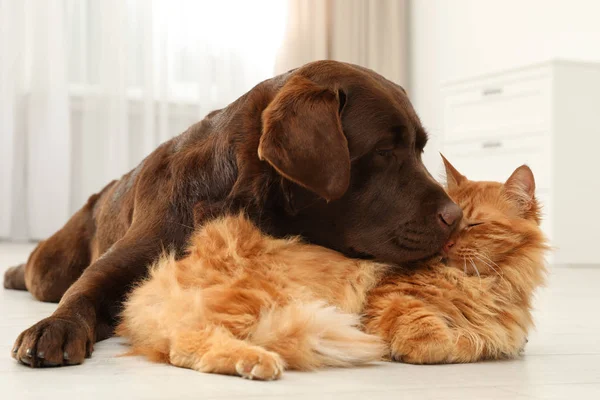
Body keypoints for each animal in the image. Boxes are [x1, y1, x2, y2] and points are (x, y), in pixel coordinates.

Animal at [4, 58, 462, 366]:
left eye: (420, 149)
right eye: (384, 151)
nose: (456, 216)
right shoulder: (126, 257)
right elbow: (83, 290)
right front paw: (54, 327)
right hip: (54, 264)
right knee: (42, 271)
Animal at [117, 158, 548, 380]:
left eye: (472, 225)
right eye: (453, 223)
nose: (446, 244)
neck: (487, 283)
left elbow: (497, 339)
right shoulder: (392, 301)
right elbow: (446, 340)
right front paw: (443, 343)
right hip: (259, 297)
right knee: (185, 344)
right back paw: (259, 362)